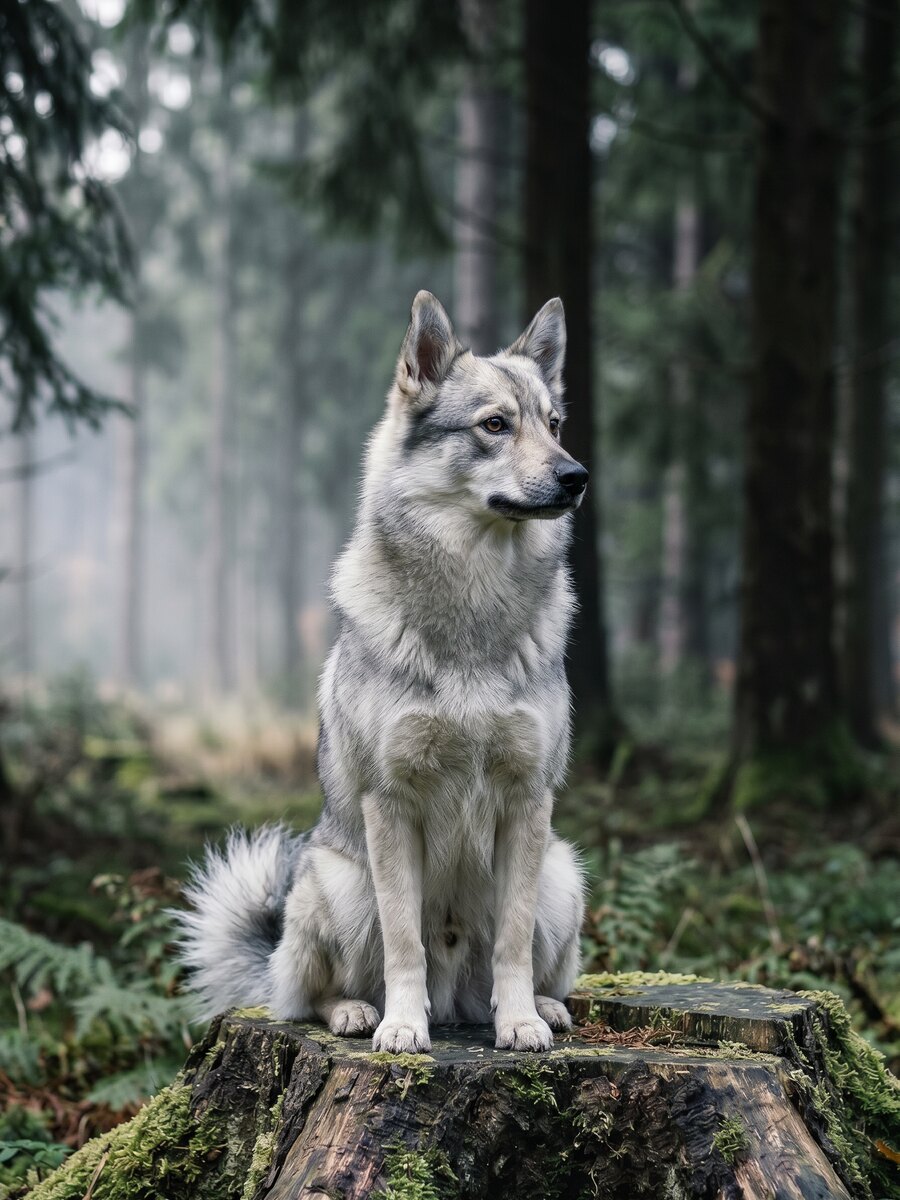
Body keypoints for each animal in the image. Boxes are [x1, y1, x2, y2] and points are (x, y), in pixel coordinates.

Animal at [177, 291, 588, 1053]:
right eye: (495, 425)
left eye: (553, 425)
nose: (576, 477)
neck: (473, 605)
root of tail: (456, 1002)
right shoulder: (391, 803)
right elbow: (404, 942)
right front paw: (402, 1027)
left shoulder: (529, 801)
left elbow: (513, 940)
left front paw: (518, 1021)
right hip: (336, 884)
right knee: (308, 997)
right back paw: (356, 1012)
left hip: (561, 870)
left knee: (521, 966)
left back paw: (537, 1007)